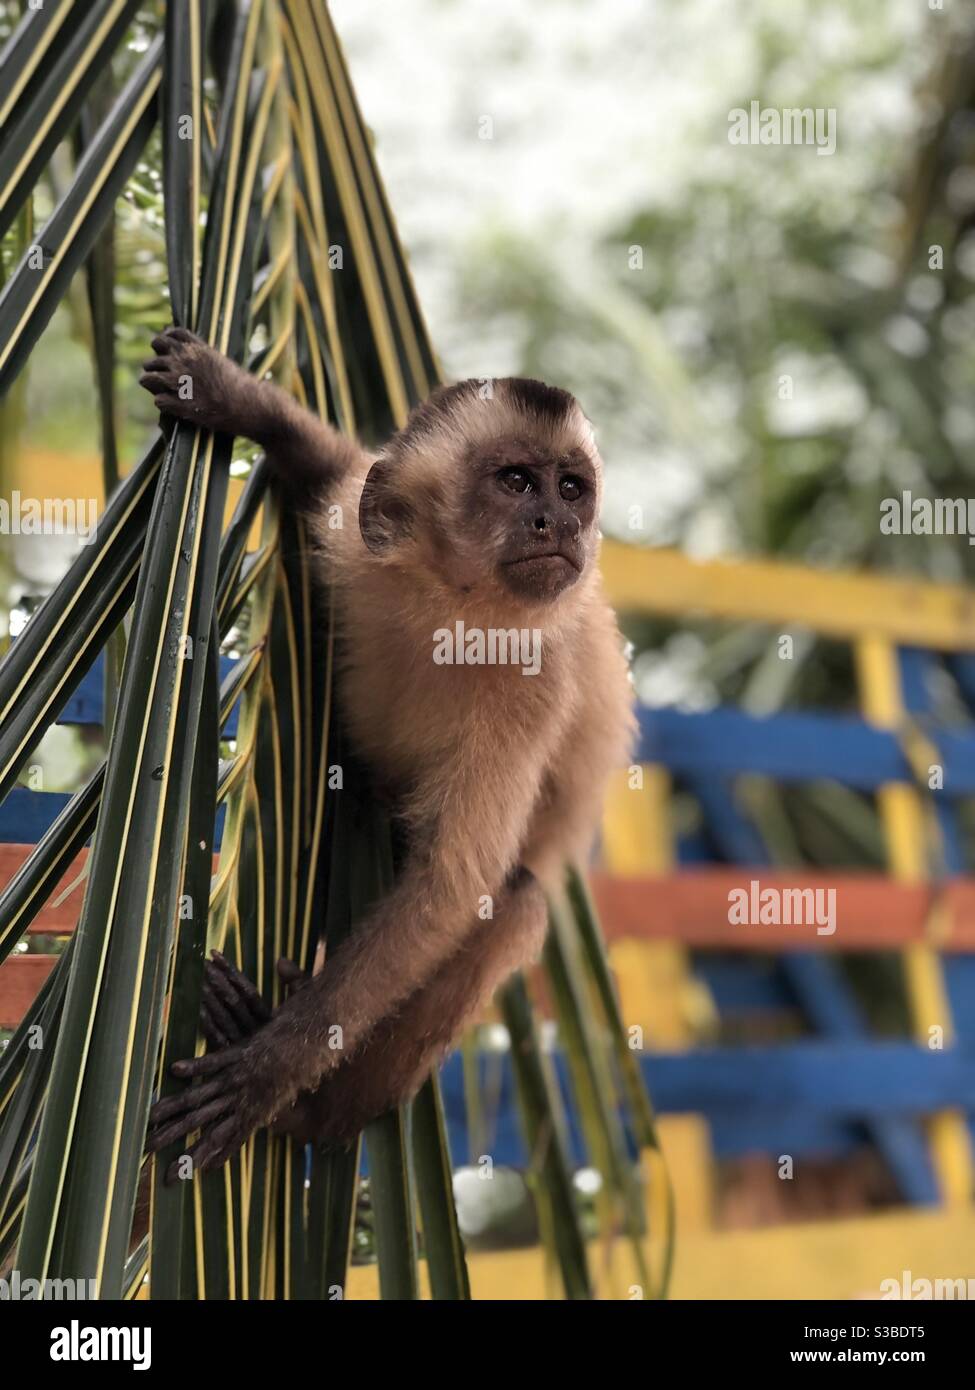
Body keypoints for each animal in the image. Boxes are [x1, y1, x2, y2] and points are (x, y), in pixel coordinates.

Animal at [140, 325, 634, 1173]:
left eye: (571, 489)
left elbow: (450, 889)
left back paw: (316, 1111)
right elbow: (336, 470)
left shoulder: (536, 679)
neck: (453, 610)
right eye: (516, 482)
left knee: (515, 901)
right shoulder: (361, 537)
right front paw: (234, 396)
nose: (559, 524)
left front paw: (273, 1066)